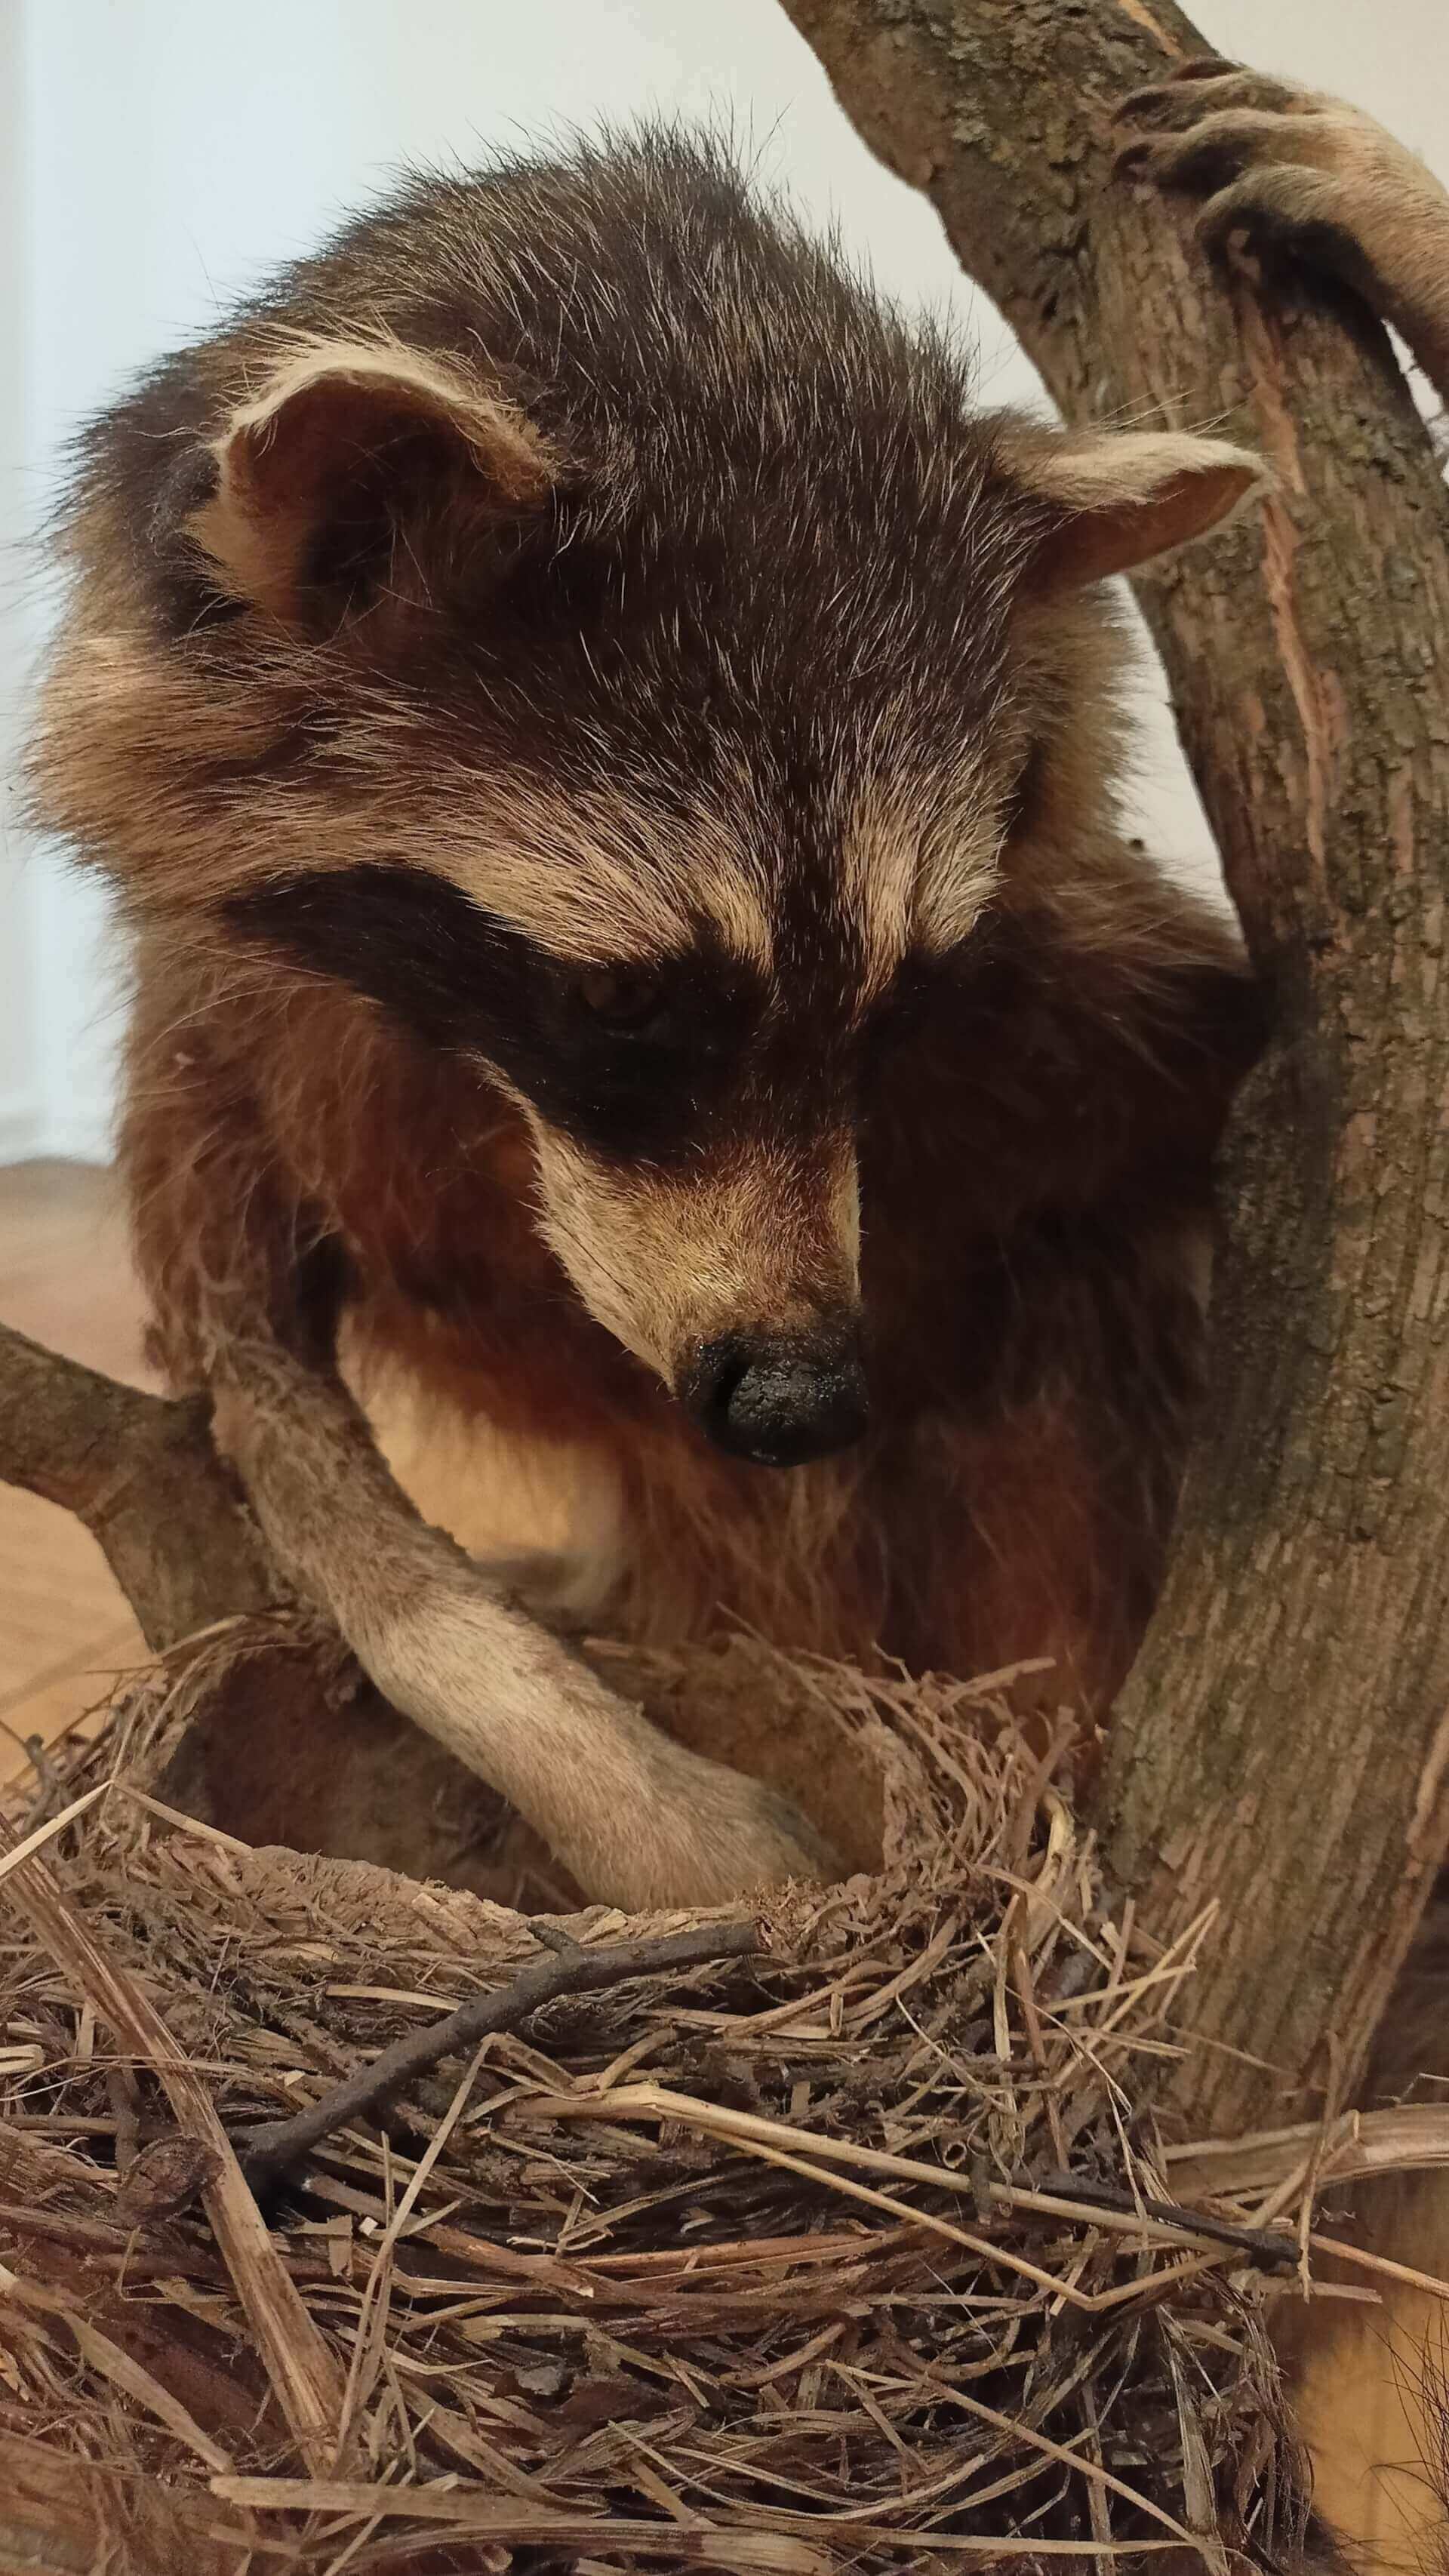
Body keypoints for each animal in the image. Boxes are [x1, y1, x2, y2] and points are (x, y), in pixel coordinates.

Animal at [23, 121, 1271, 1906]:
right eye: (623, 998)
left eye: (906, 992)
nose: (802, 1397)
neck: (485, 1083)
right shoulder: (217, 1032)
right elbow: (263, 1408)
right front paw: (621, 1777)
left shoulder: (1073, 993)